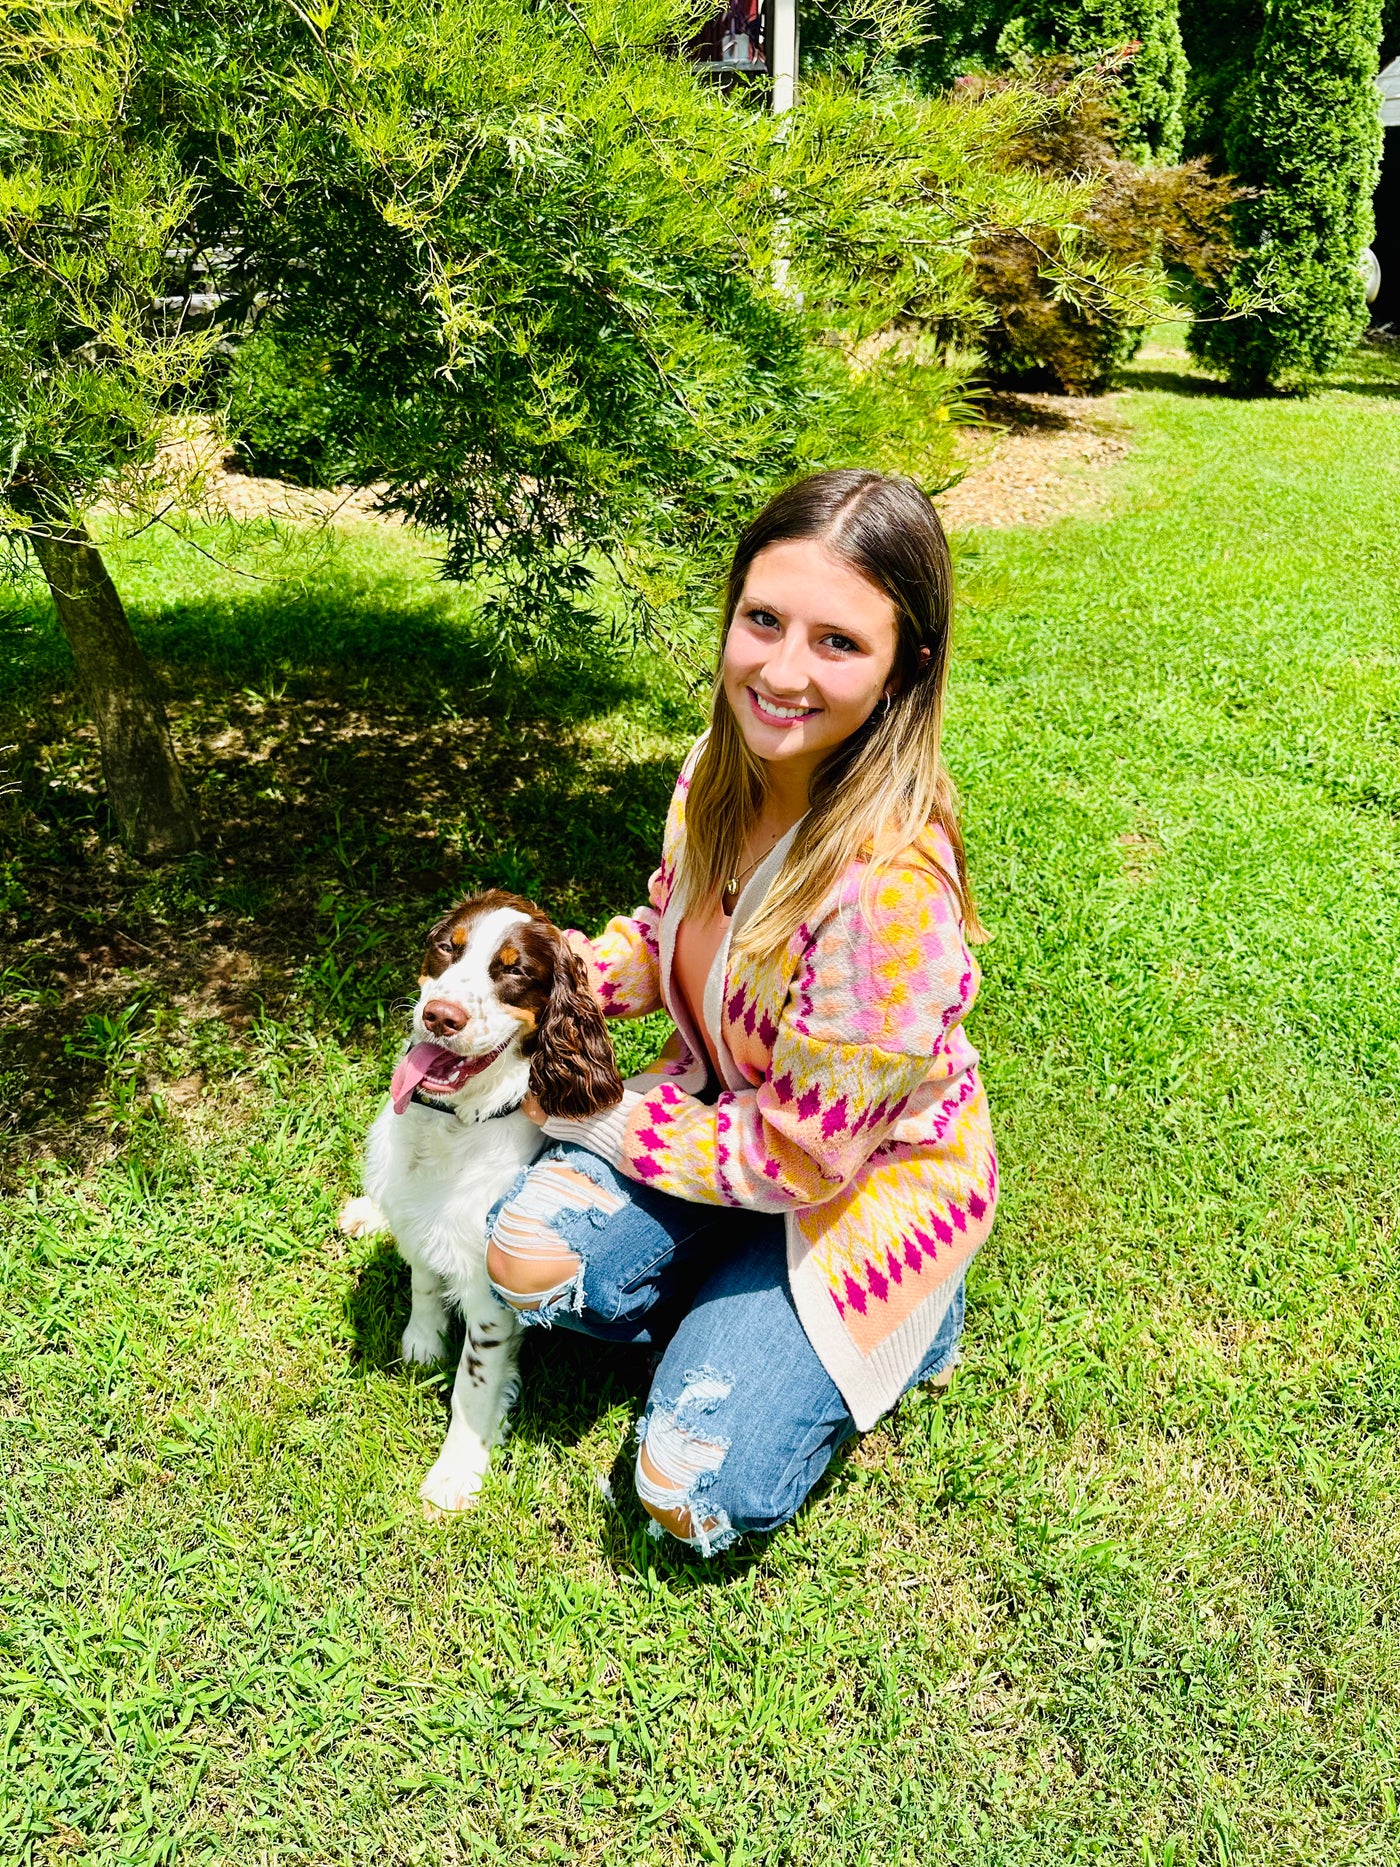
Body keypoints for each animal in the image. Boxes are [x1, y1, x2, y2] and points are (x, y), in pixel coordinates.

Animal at [337, 888, 623, 1516]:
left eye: (514, 970)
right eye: (448, 947)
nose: (440, 1016)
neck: (453, 1125)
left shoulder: (490, 1290)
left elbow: (473, 1384)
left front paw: (454, 1473)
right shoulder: (418, 1212)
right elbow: (422, 1276)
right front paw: (422, 1342)